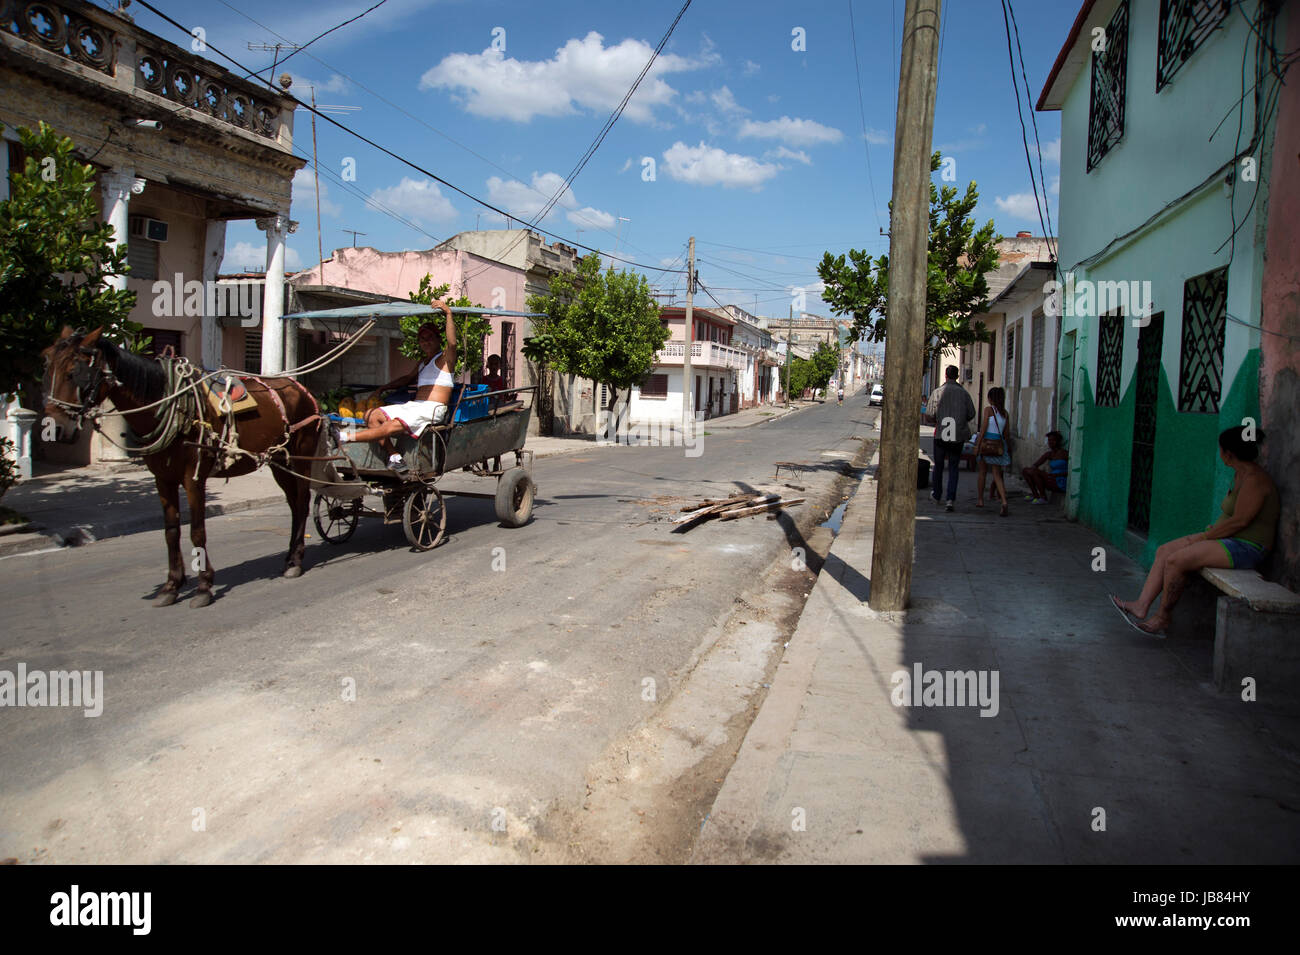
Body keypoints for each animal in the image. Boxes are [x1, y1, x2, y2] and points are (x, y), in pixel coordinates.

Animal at [41, 328, 325, 605]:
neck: (170, 403)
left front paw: (203, 587)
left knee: (301, 503)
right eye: (48, 367)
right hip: (279, 462)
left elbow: (197, 531)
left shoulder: (193, 478)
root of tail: (300, 388)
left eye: (74, 372)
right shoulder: (162, 478)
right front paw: (171, 586)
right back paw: (289, 556)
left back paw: (296, 561)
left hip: (301, 457)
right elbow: (171, 531)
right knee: (293, 505)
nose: (56, 428)